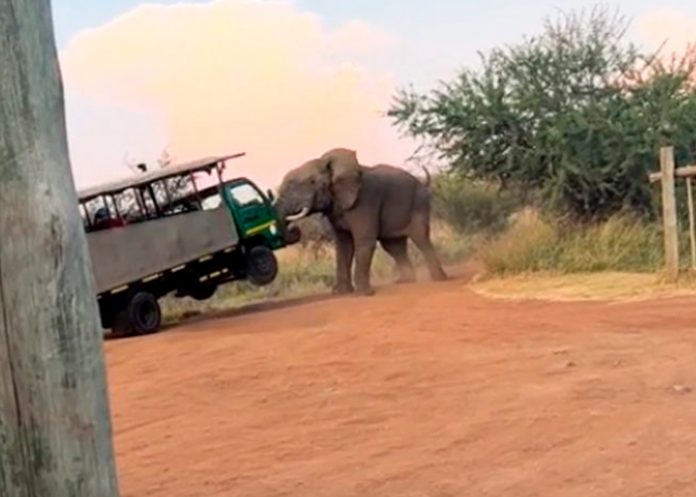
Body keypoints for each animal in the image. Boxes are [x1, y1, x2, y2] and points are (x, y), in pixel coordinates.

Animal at [275, 148, 447, 296]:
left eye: (312, 182)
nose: (294, 228)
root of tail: (423, 182)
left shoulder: (365, 201)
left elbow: (364, 240)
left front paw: (364, 293)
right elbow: (344, 245)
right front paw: (342, 293)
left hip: (419, 204)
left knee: (421, 239)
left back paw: (439, 279)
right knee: (393, 247)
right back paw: (405, 281)